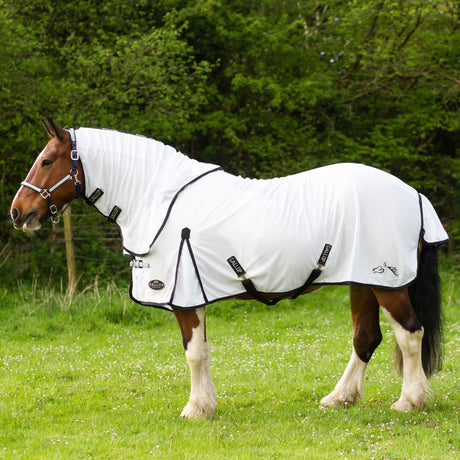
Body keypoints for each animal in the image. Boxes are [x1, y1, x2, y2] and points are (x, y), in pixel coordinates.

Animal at [9, 117, 450, 416]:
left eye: (47, 161)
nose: (17, 212)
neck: (159, 200)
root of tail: (412, 194)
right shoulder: (194, 294)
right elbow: (202, 350)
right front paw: (205, 405)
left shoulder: (183, 296)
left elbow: (193, 353)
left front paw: (195, 409)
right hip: (360, 280)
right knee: (366, 338)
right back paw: (340, 397)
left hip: (388, 284)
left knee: (410, 334)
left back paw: (410, 400)